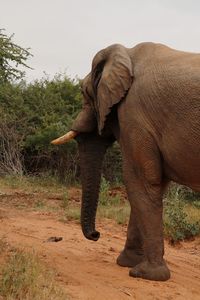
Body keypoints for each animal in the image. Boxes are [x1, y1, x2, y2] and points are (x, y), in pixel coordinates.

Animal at [51, 42, 200, 282]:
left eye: (84, 93)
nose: (96, 234)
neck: (127, 54)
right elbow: (152, 186)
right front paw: (127, 263)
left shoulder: (135, 114)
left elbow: (139, 181)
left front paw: (145, 274)